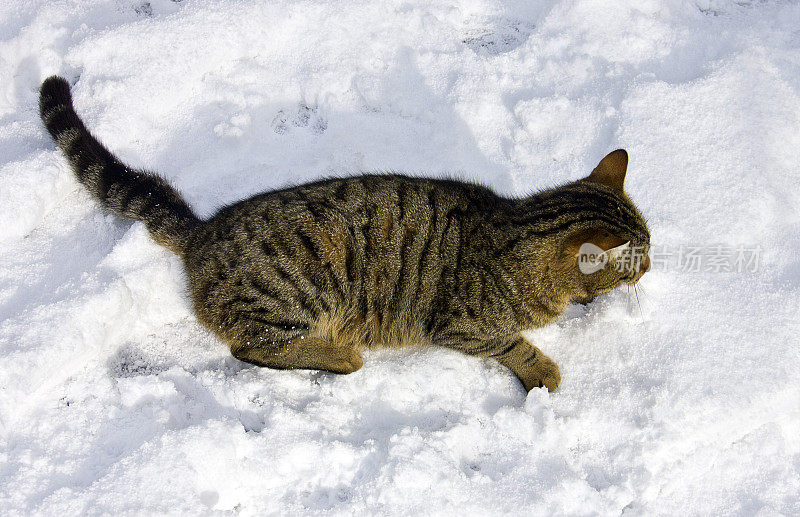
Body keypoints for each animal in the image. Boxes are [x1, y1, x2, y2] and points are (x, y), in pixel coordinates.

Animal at [39, 75, 648, 392]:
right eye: (638, 260)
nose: (651, 267)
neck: (514, 229)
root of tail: (204, 230)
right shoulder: (462, 326)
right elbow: (513, 343)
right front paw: (543, 368)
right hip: (295, 297)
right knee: (250, 348)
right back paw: (340, 354)